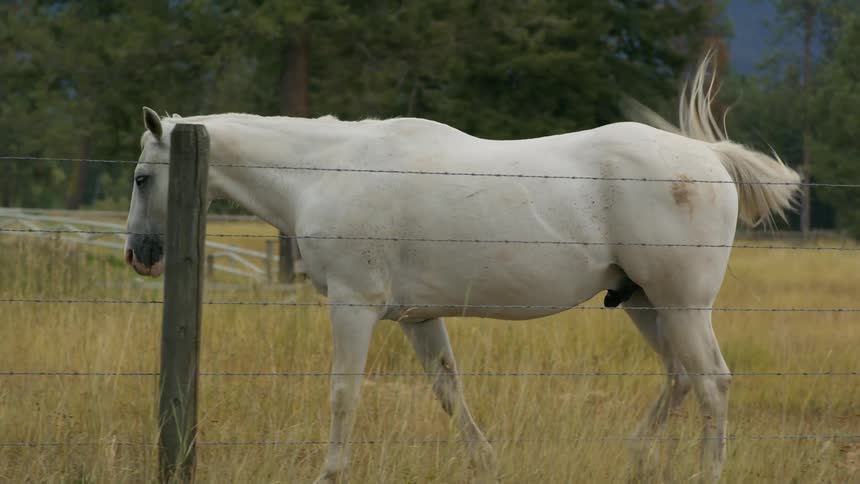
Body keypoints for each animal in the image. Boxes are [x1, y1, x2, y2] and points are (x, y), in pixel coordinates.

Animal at [124, 52, 799, 483]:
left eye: (140, 178)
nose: (139, 256)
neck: (325, 172)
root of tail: (708, 157)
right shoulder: (417, 319)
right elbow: (449, 390)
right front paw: (487, 464)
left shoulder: (354, 305)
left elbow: (344, 393)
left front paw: (330, 473)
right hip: (643, 303)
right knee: (681, 378)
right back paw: (636, 456)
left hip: (681, 305)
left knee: (711, 383)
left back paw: (704, 472)